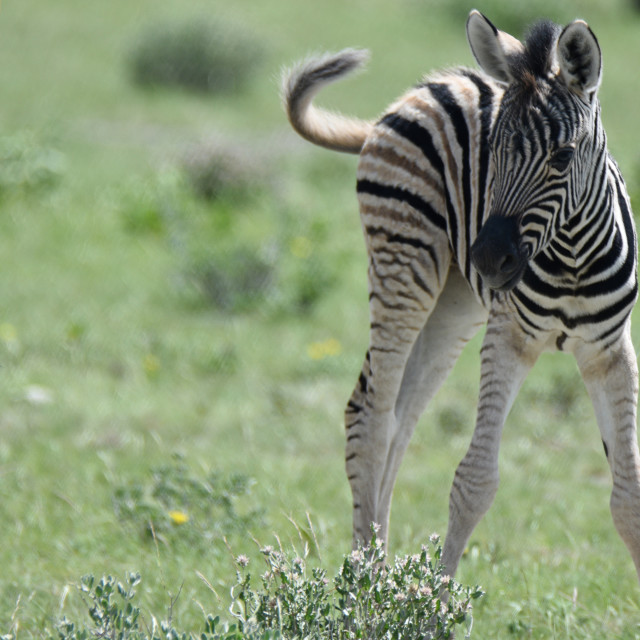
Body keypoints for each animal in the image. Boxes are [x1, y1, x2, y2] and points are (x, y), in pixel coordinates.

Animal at [282, 10, 640, 584]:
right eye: (495, 151)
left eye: (563, 156)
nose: (489, 259)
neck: (572, 257)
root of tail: (425, 88)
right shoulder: (508, 336)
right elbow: (475, 481)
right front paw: (437, 603)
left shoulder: (610, 351)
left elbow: (629, 497)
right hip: (403, 265)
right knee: (371, 416)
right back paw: (366, 581)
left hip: (455, 304)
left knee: (400, 418)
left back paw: (381, 573)